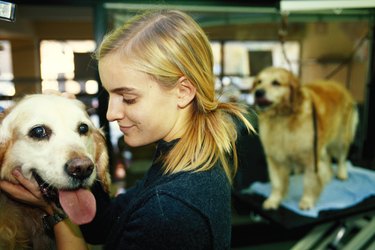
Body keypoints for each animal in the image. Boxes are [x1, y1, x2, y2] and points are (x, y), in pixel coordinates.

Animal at [253, 67, 358, 210]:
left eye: (276, 83)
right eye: (259, 82)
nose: (258, 92)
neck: (283, 118)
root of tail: (339, 85)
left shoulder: (311, 158)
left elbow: (309, 182)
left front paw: (307, 201)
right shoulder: (275, 159)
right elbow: (277, 183)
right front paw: (273, 200)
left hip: (340, 139)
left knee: (342, 158)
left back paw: (341, 174)